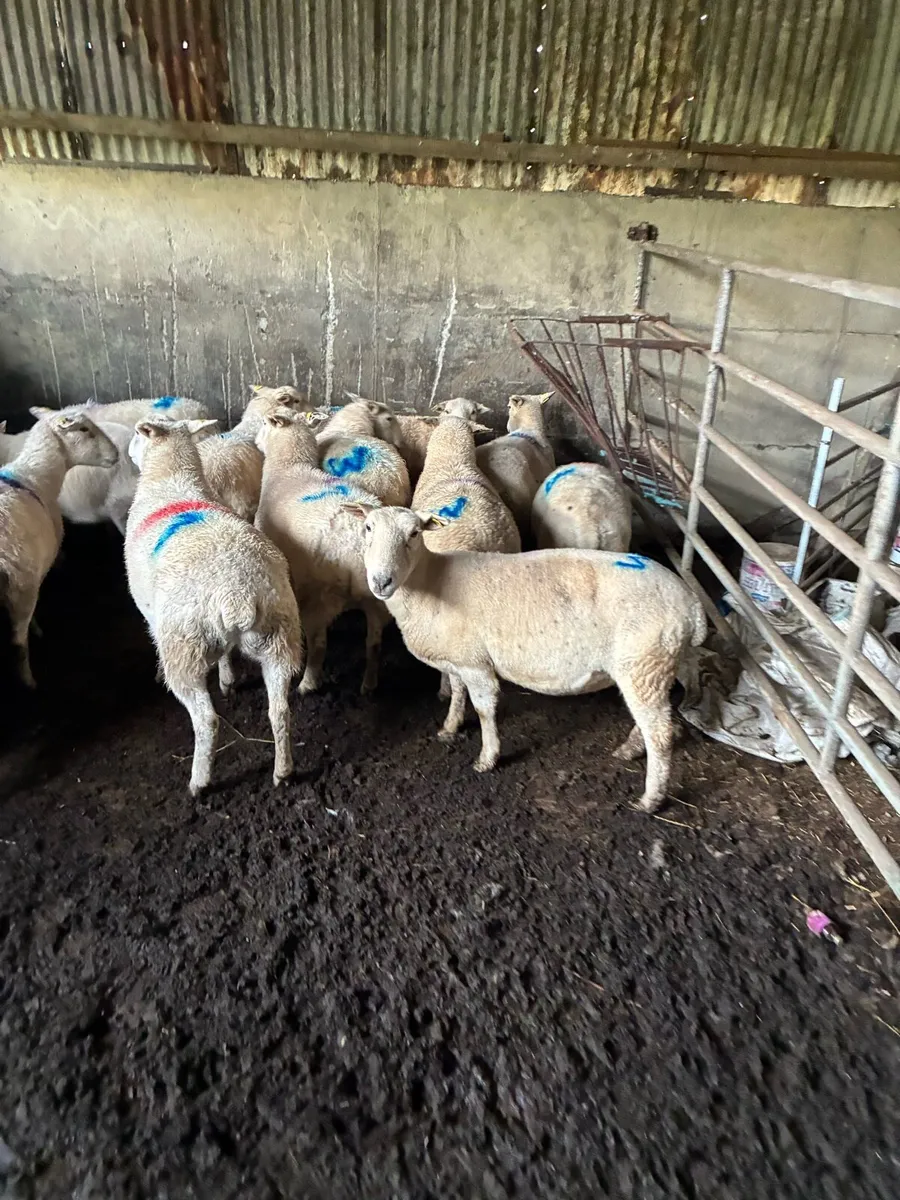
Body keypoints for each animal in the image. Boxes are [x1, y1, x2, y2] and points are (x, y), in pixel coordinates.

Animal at [1, 409, 119, 687]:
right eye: (84, 429)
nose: (116, 453)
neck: (33, 475)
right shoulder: (29, 580)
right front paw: (37, 630)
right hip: (17, 586)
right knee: (17, 641)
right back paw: (28, 681)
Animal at [126, 417, 303, 794]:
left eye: (136, 434)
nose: (129, 452)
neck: (171, 481)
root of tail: (237, 594)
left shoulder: (150, 613)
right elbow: (225, 655)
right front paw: (228, 679)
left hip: (185, 650)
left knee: (207, 721)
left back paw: (200, 782)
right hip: (280, 636)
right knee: (280, 711)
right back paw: (283, 771)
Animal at [255, 407, 389, 696]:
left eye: (264, 424)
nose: (256, 442)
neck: (289, 468)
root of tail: (356, 542)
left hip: (321, 595)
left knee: (318, 645)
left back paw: (308, 683)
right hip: (378, 599)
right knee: (374, 643)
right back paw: (369, 684)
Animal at [347, 504, 706, 812]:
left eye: (414, 533)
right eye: (368, 527)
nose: (381, 581)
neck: (430, 582)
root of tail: (691, 605)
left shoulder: (476, 664)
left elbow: (484, 709)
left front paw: (487, 757)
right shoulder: (459, 658)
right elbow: (458, 692)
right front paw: (449, 727)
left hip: (643, 664)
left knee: (659, 733)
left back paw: (651, 799)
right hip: (658, 664)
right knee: (657, 717)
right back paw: (631, 749)